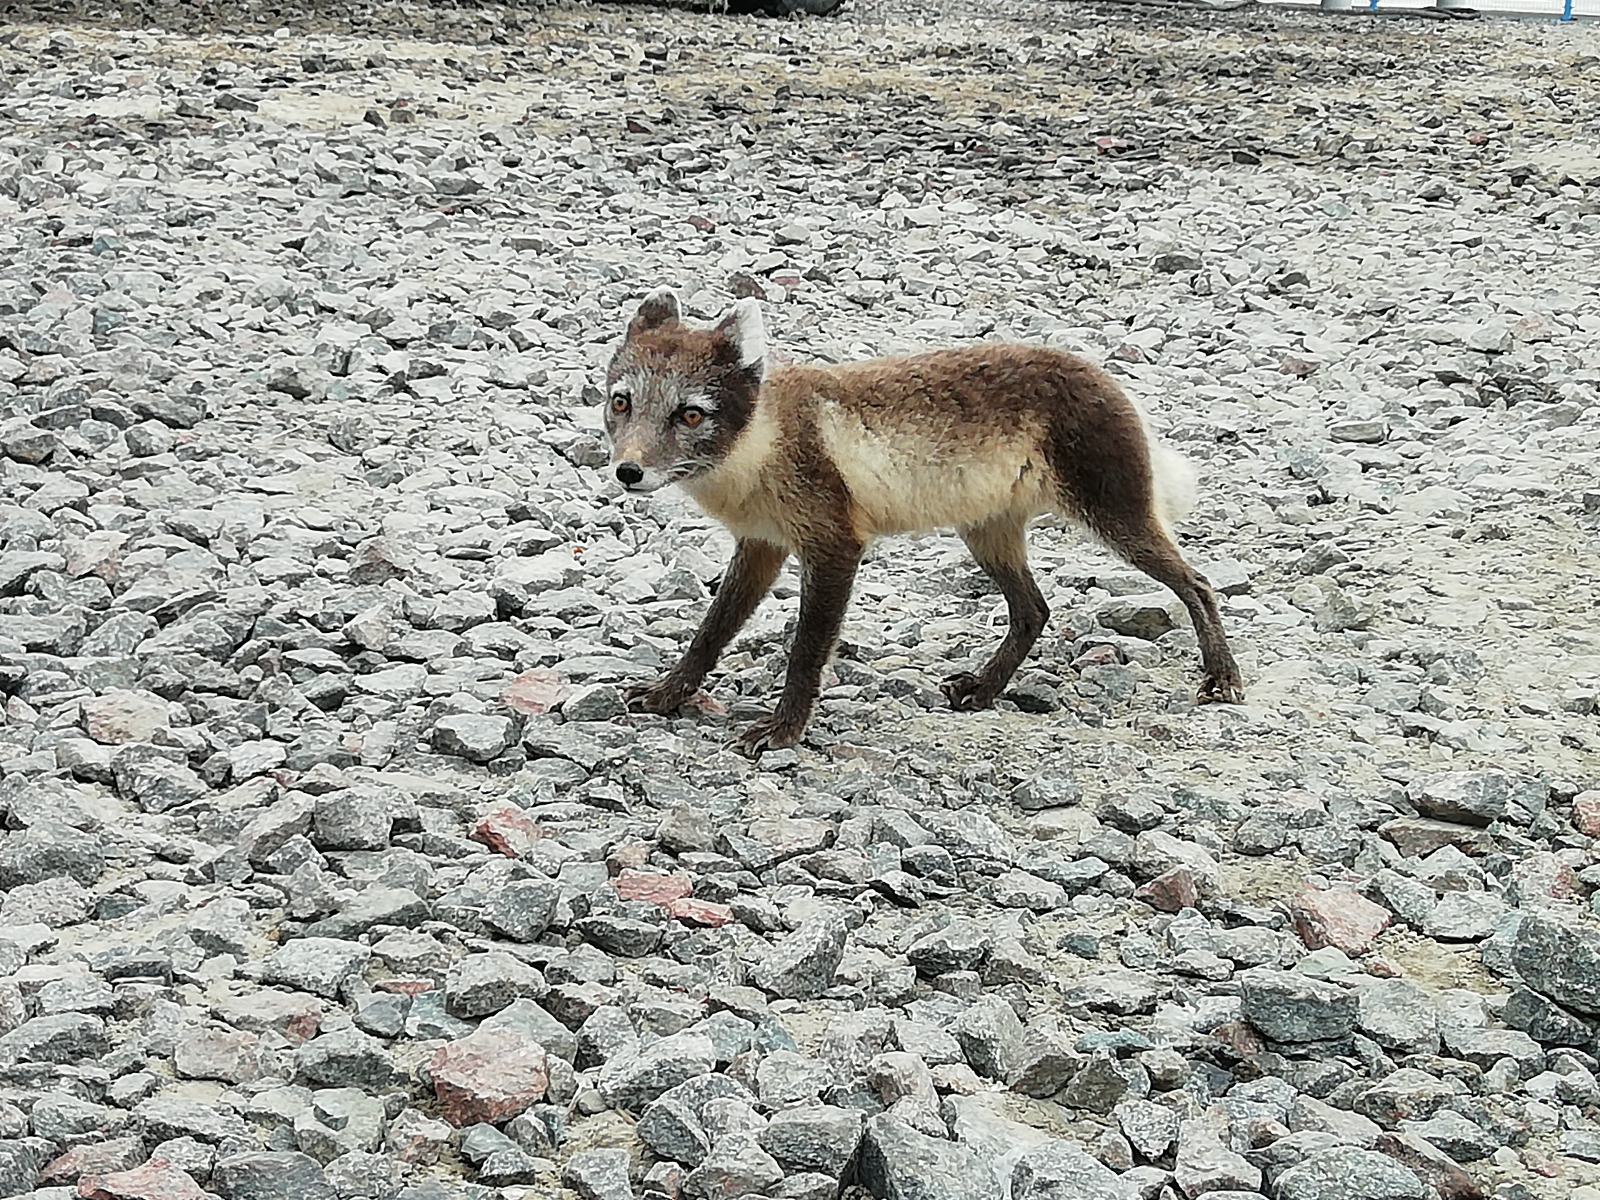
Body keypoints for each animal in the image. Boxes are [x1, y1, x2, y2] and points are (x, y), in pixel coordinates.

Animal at [604, 291, 1241, 755]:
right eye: (621, 402)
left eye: (690, 413)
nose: (628, 471)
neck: (763, 441)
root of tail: (1108, 380)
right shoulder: (761, 543)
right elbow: (711, 632)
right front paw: (667, 694)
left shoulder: (834, 544)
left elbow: (806, 650)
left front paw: (784, 730)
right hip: (988, 532)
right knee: (1033, 610)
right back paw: (984, 688)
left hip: (1114, 514)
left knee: (1197, 583)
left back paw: (1222, 676)